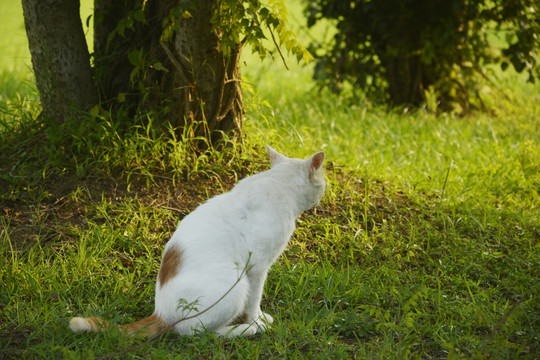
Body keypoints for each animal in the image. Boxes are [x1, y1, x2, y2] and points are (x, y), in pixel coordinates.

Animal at [70, 146, 326, 338]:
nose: (325, 189)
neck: (278, 184)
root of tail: (160, 313)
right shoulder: (257, 267)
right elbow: (254, 300)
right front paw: (256, 320)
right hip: (236, 282)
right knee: (196, 332)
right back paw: (246, 329)